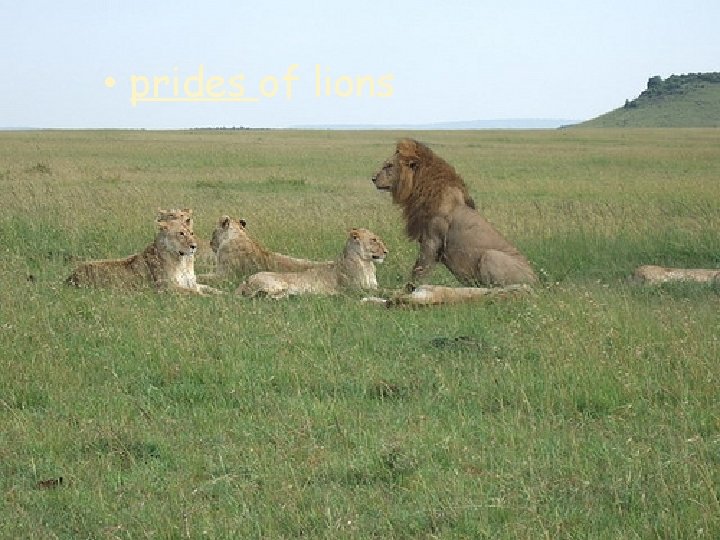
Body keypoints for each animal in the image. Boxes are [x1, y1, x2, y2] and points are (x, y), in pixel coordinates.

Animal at [66, 220, 221, 294]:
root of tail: (70, 277)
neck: (182, 262)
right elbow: (196, 293)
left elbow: (210, 289)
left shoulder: (192, 283)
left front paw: (223, 295)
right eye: (181, 233)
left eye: (192, 233)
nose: (194, 246)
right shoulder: (165, 288)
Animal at [237, 228, 387, 299]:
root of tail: (247, 280)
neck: (367, 264)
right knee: (260, 296)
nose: (387, 252)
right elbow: (384, 291)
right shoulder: (355, 290)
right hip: (278, 284)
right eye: (374, 240)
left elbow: (383, 289)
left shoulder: (370, 286)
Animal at [372, 138, 537, 287]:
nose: (373, 178)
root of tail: (538, 281)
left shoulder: (432, 240)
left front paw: (405, 290)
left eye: (389, 166)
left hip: (491, 256)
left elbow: (419, 270)